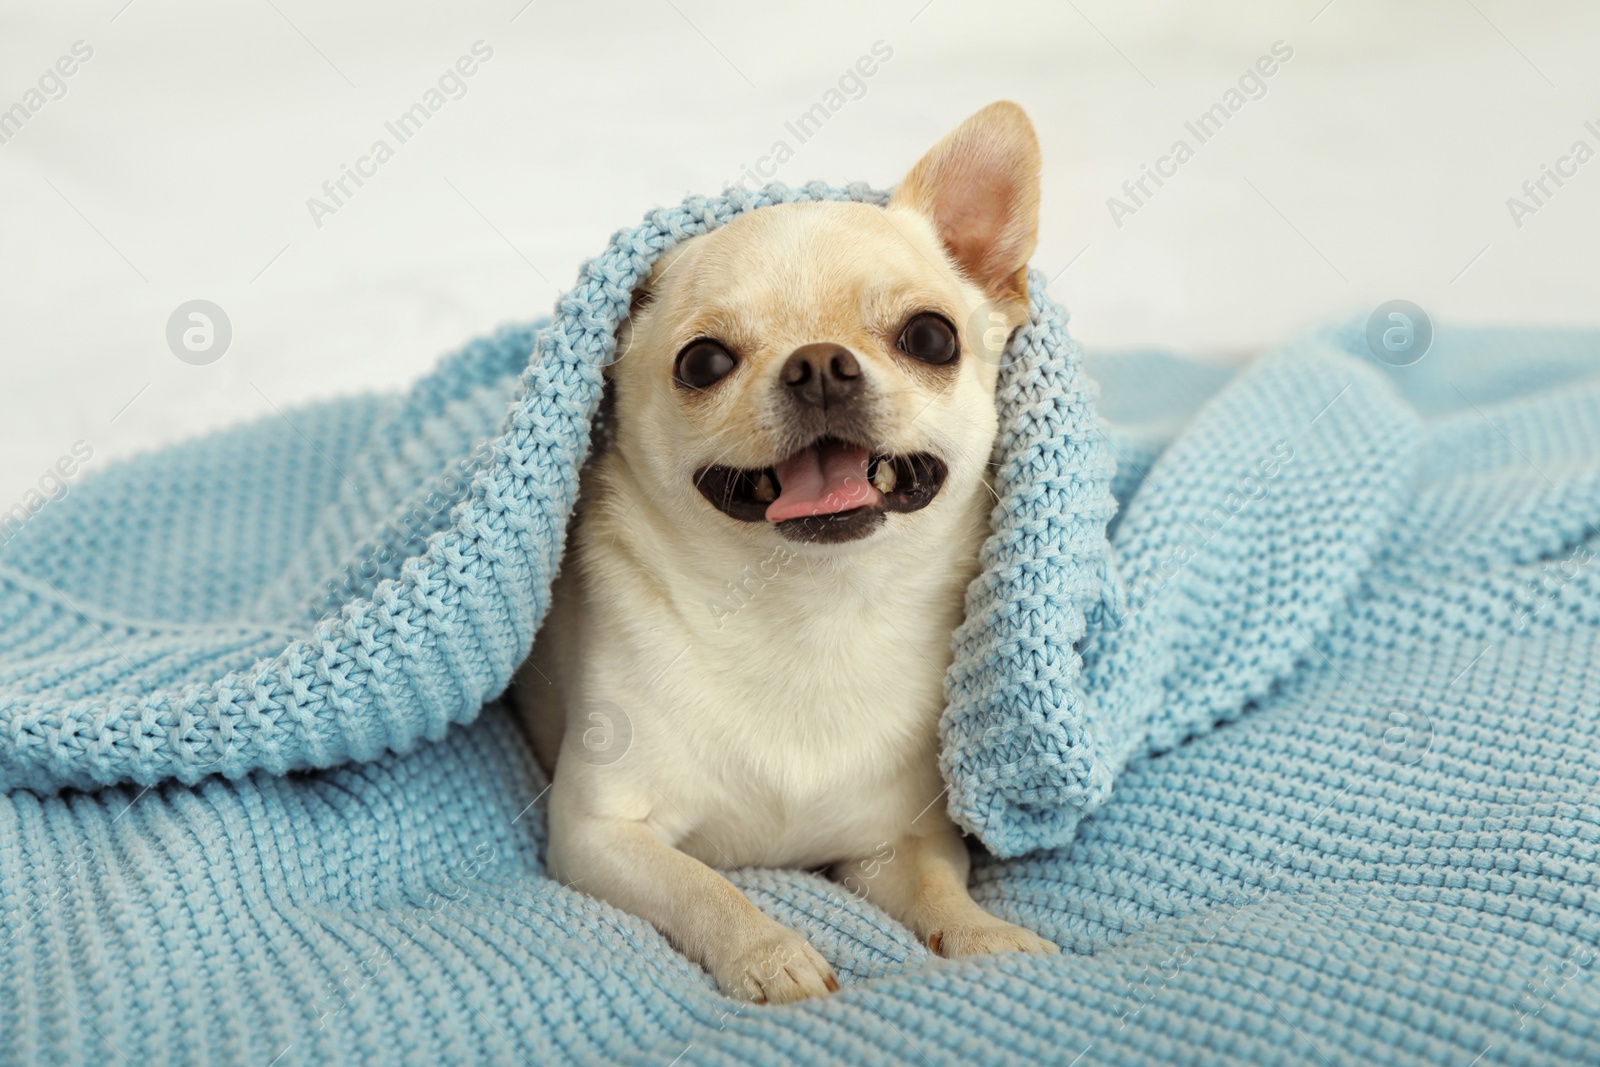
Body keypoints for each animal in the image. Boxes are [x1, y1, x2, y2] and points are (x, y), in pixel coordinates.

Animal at [518, 103, 1056, 1004]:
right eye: (703, 361)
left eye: (931, 337)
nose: (819, 365)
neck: (810, 609)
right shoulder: (599, 834)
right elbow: (704, 886)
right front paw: (770, 953)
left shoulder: (898, 843)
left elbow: (940, 890)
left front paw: (984, 935)